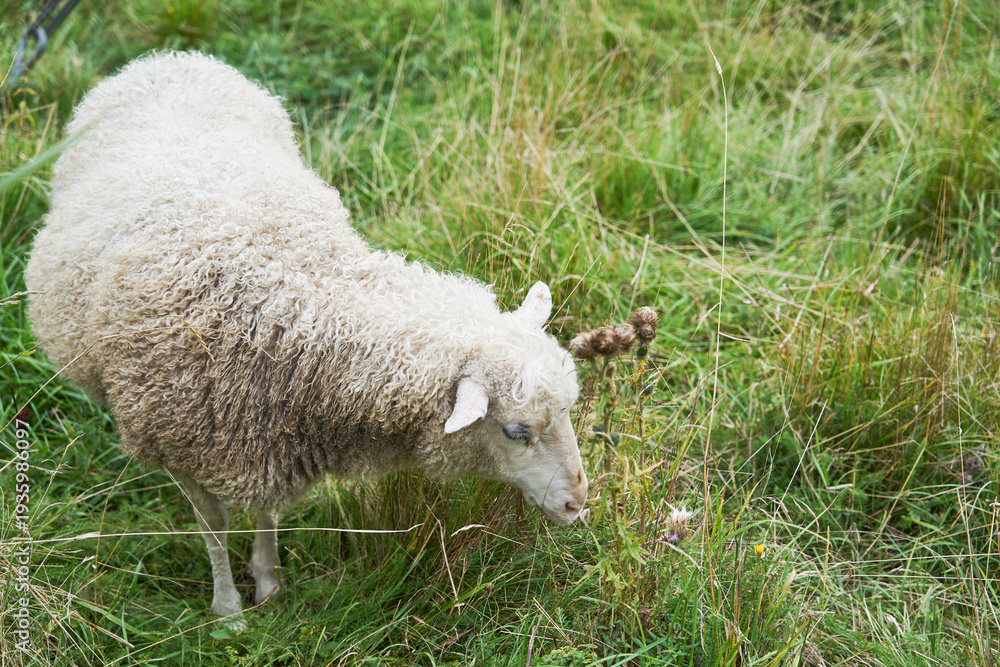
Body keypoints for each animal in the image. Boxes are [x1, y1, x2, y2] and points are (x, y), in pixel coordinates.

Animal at [25, 51, 588, 625]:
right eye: (516, 432)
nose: (577, 504)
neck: (296, 303)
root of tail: (166, 60)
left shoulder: (268, 435)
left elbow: (265, 509)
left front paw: (268, 581)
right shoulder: (181, 445)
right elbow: (214, 525)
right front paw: (228, 609)